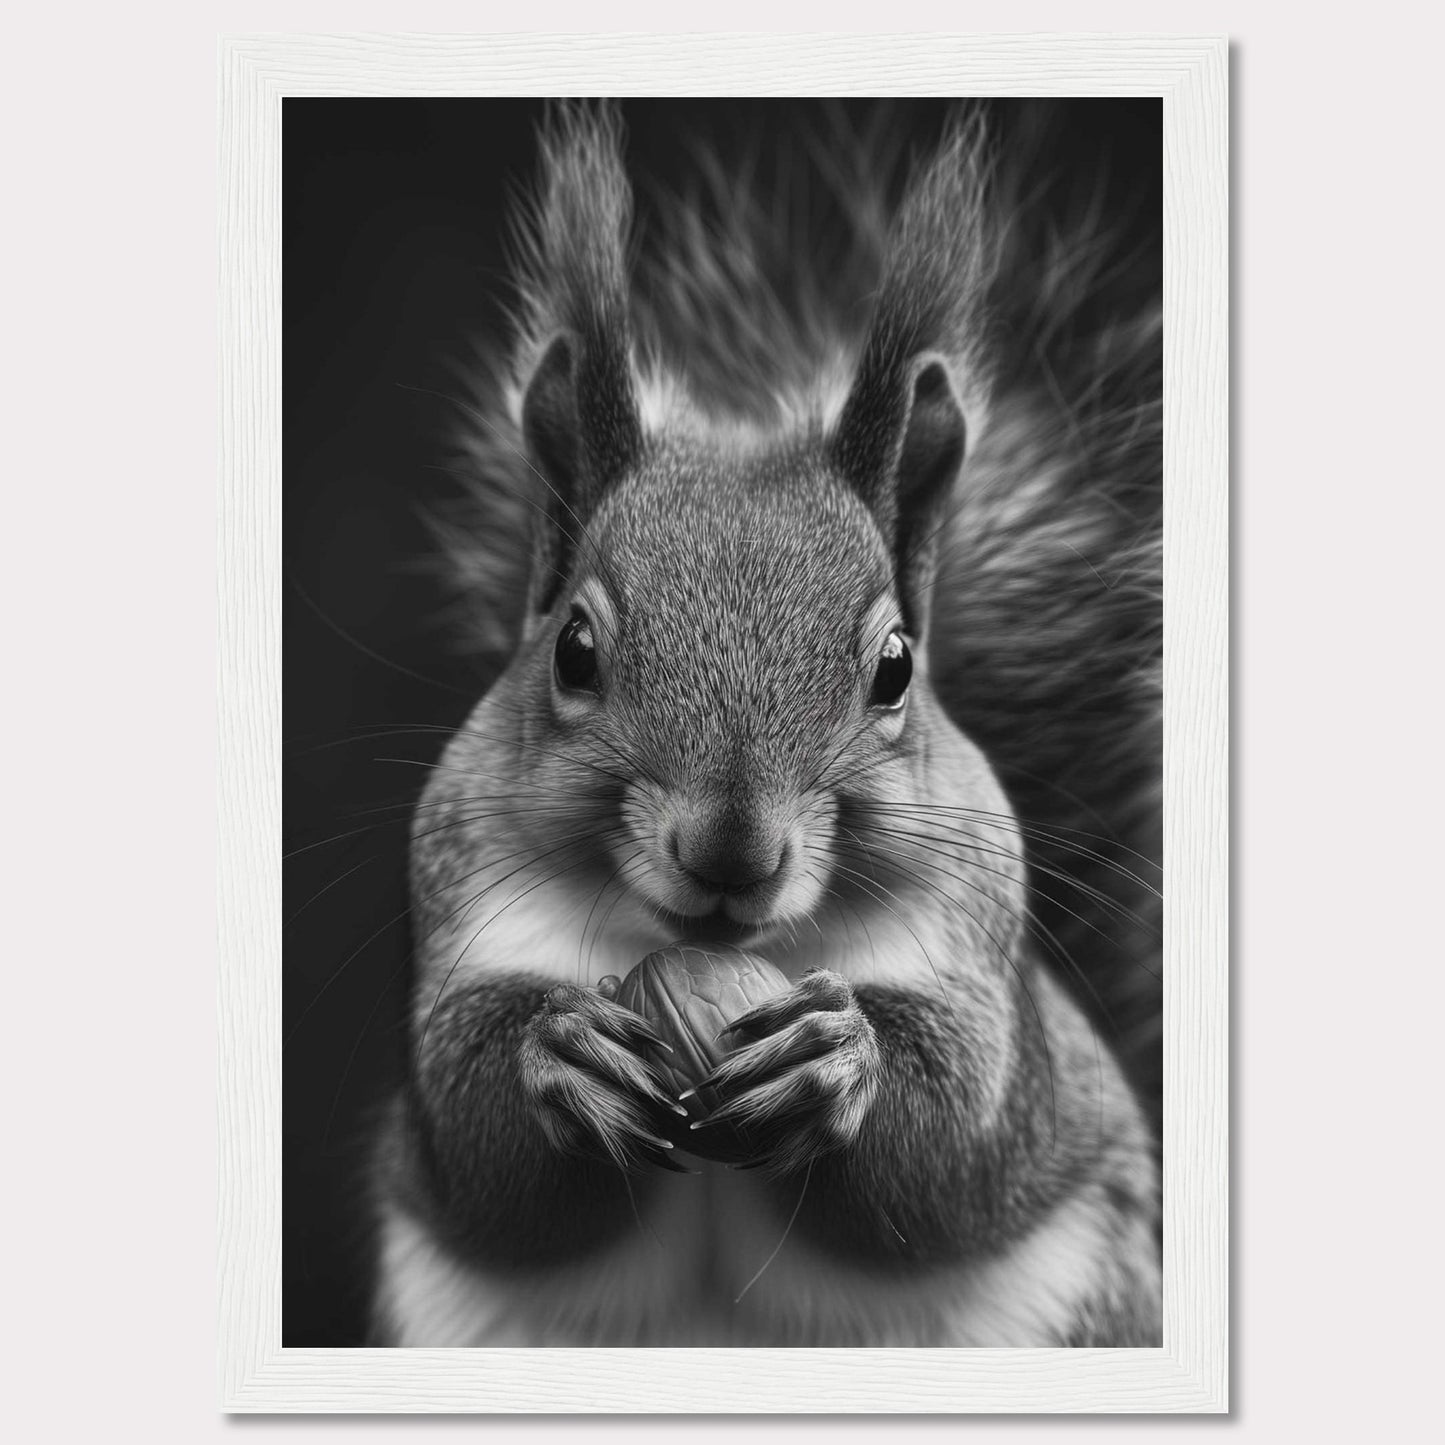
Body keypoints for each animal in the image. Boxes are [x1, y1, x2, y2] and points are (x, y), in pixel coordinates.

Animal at [369, 98, 1161, 1340]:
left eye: (893, 668)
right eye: (573, 650)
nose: (731, 853)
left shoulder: (982, 971)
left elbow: (953, 1152)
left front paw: (836, 1062)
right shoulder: (460, 914)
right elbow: (479, 1152)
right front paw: (562, 1054)